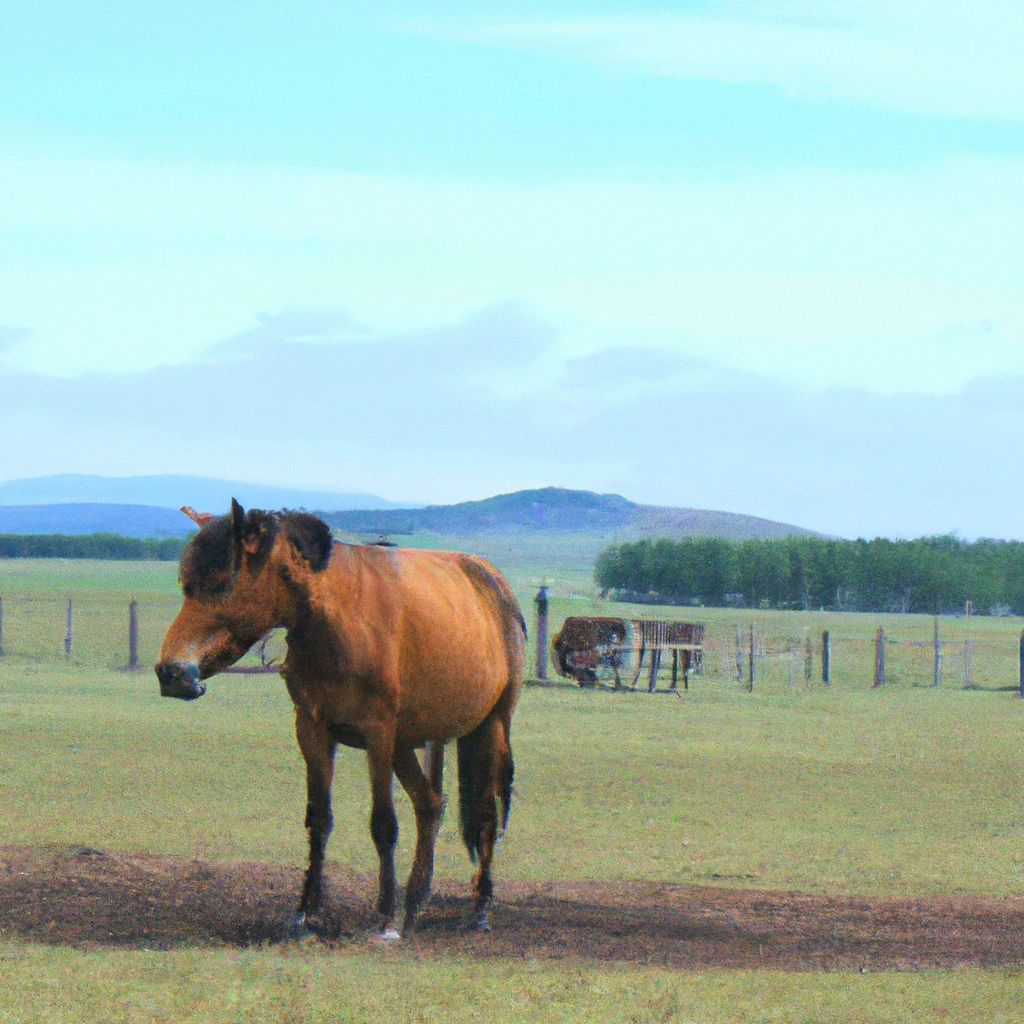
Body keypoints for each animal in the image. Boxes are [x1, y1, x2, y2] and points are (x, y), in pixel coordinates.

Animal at [154, 499, 524, 937]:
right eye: (186, 584)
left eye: (221, 583)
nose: (171, 673)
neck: (336, 615)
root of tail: (493, 583)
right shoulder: (312, 730)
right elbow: (319, 819)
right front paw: (306, 911)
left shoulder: (378, 734)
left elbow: (384, 825)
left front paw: (384, 918)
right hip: (409, 743)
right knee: (431, 804)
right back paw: (416, 902)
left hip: (490, 726)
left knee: (486, 813)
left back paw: (479, 907)